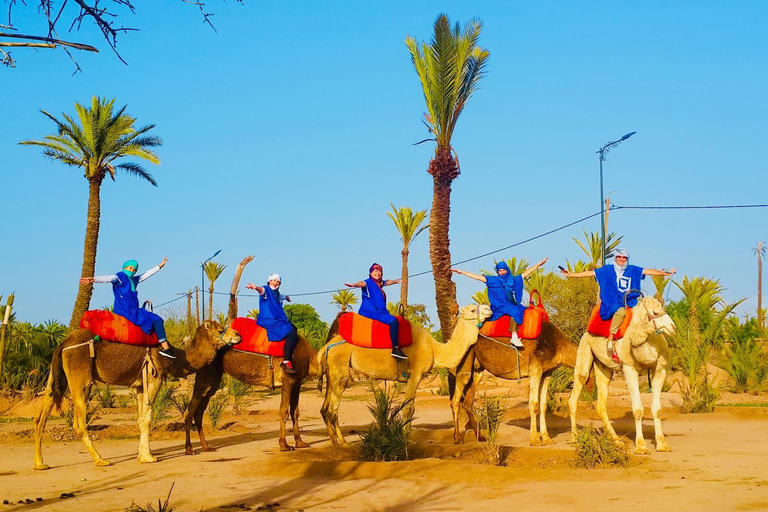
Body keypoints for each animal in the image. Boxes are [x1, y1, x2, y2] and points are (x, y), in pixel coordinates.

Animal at [32, 322, 240, 470]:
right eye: (220, 329)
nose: (238, 335)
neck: (176, 357)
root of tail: (63, 344)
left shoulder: (140, 385)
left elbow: (141, 418)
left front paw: (141, 455)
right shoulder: (154, 377)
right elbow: (147, 418)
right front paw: (149, 457)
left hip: (56, 376)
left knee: (41, 415)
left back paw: (40, 463)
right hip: (81, 379)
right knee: (79, 422)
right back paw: (100, 460)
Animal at [184, 336, 320, 452]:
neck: (309, 356)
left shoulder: (297, 383)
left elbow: (295, 412)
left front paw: (300, 443)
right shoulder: (288, 381)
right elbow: (283, 411)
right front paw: (284, 445)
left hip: (213, 379)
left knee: (199, 411)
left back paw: (206, 446)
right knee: (190, 410)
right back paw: (189, 449)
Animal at [318, 306, 492, 446]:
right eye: (472, 309)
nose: (488, 308)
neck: (434, 349)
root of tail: (326, 347)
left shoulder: (412, 377)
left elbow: (411, 408)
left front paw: (406, 436)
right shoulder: (415, 374)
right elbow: (408, 408)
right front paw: (407, 439)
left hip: (332, 372)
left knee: (328, 408)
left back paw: (336, 441)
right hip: (339, 368)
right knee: (333, 409)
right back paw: (343, 442)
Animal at [448, 322, 580, 446]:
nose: (576, 439)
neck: (557, 345)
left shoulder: (547, 372)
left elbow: (543, 405)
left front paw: (547, 439)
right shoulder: (535, 368)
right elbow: (534, 404)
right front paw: (534, 440)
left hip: (477, 369)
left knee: (467, 401)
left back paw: (480, 437)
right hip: (466, 358)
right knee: (456, 398)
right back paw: (457, 438)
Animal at [568, 296, 676, 456]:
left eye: (663, 308)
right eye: (655, 312)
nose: (672, 327)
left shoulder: (660, 369)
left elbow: (657, 409)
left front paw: (662, 445)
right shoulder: (629, 368)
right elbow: (637, 409)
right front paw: (641, 447)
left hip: (604, 368)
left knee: (601, 404)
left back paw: (617, 441)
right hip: (584, 349)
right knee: (576, 390)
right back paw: (575, 439)